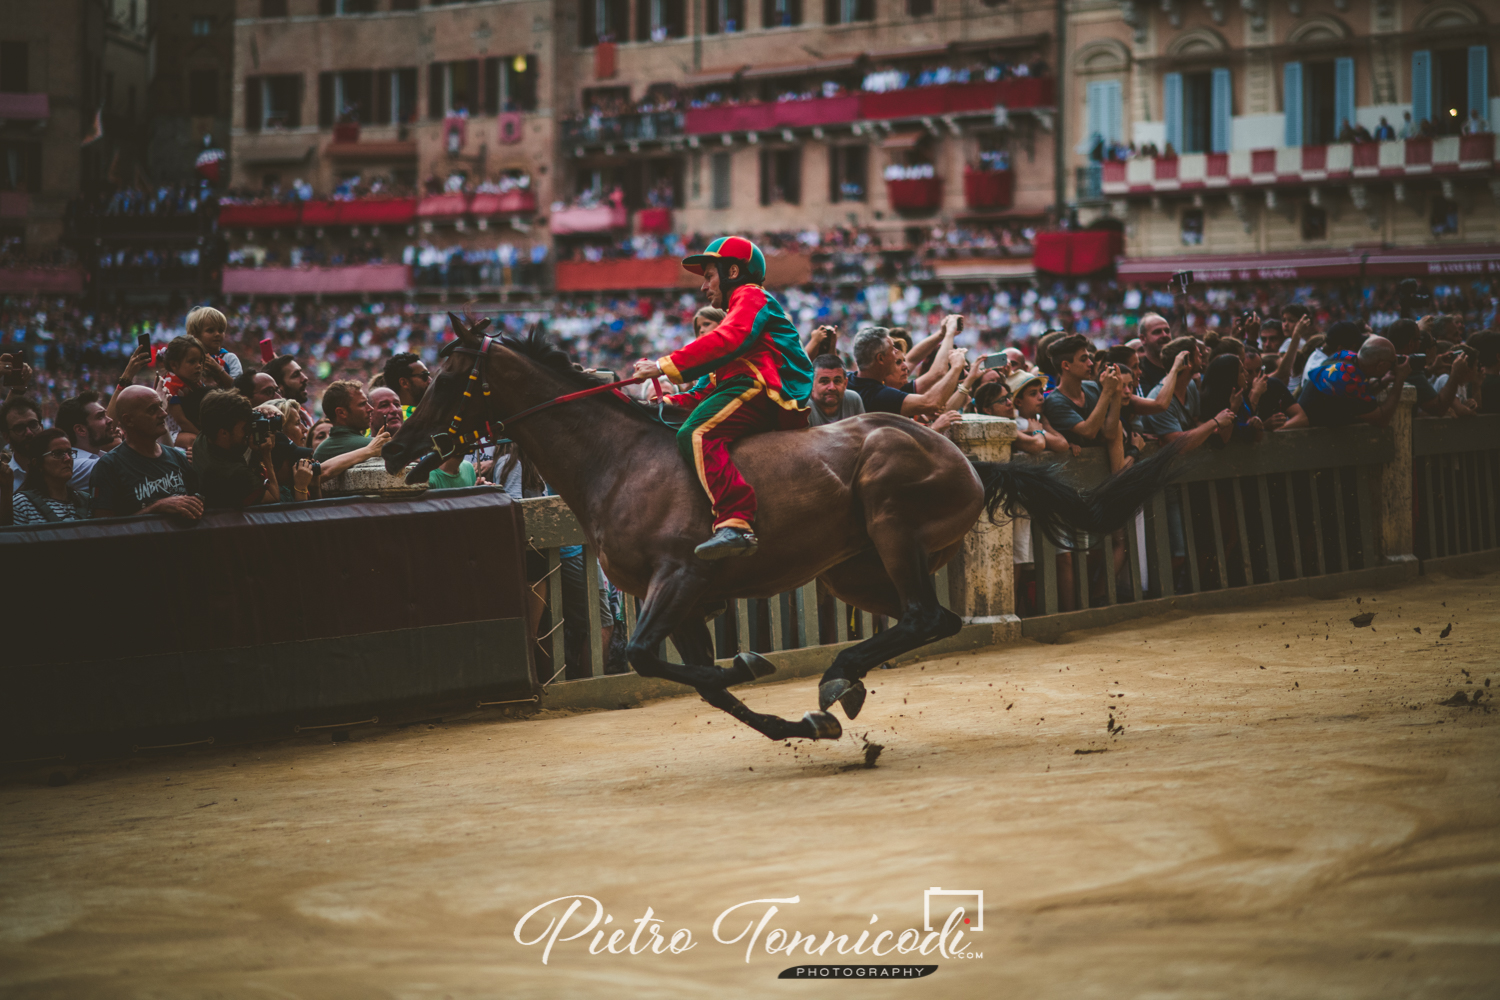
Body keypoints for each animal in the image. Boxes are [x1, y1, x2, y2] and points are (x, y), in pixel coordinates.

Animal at [381, 320, 1176, 743]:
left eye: (447, 381)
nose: (394, 448)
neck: (620, 460)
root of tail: (968, 458)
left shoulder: (683, 577)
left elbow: (647, 657)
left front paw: (751, 666)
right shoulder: (682, 601)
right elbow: (688, 678)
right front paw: (788, 718)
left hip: (890, 519)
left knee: (928, 615)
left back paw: (837, 675)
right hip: (853, 568)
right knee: (931, 619)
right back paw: (843, 680)